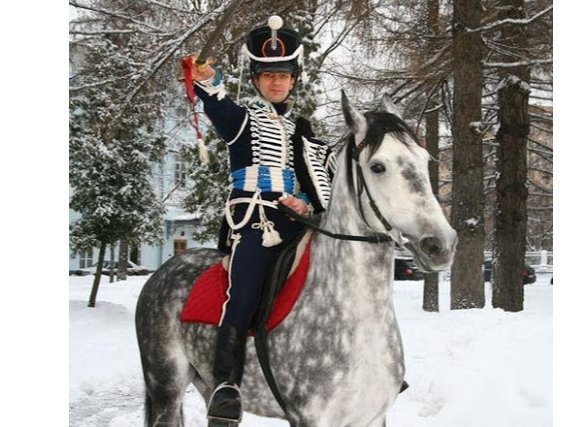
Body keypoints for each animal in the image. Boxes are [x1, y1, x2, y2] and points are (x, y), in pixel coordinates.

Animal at [135, 92, 458, 427]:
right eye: (377, 166)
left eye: (426, 160)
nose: (441, 244)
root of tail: (163, 271)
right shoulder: (309, 418)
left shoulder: (372, 418)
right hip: (166, 388)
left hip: (205, 385)